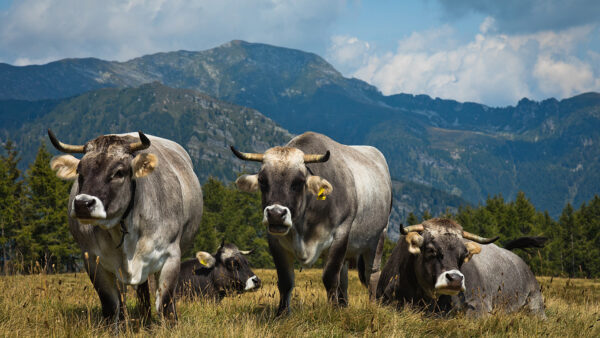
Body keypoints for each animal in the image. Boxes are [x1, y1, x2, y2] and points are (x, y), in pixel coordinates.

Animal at [47, 129, 202, 322]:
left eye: (119, 172)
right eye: (79, 172)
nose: (83, 204)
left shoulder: (171, 255)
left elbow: (165, 303)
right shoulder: (92, 259)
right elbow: (112, 306)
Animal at [231, 131, 394, 314]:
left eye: (298, 182)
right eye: (262, 180)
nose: (276, 214)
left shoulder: (341, 233)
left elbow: (330, 277)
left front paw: (332, 311)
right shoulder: (274, 240)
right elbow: (285, 281)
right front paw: (282, 314)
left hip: (379, 236)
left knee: (371, 273)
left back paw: (372, 305)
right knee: (344, 277)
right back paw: (343, 306)